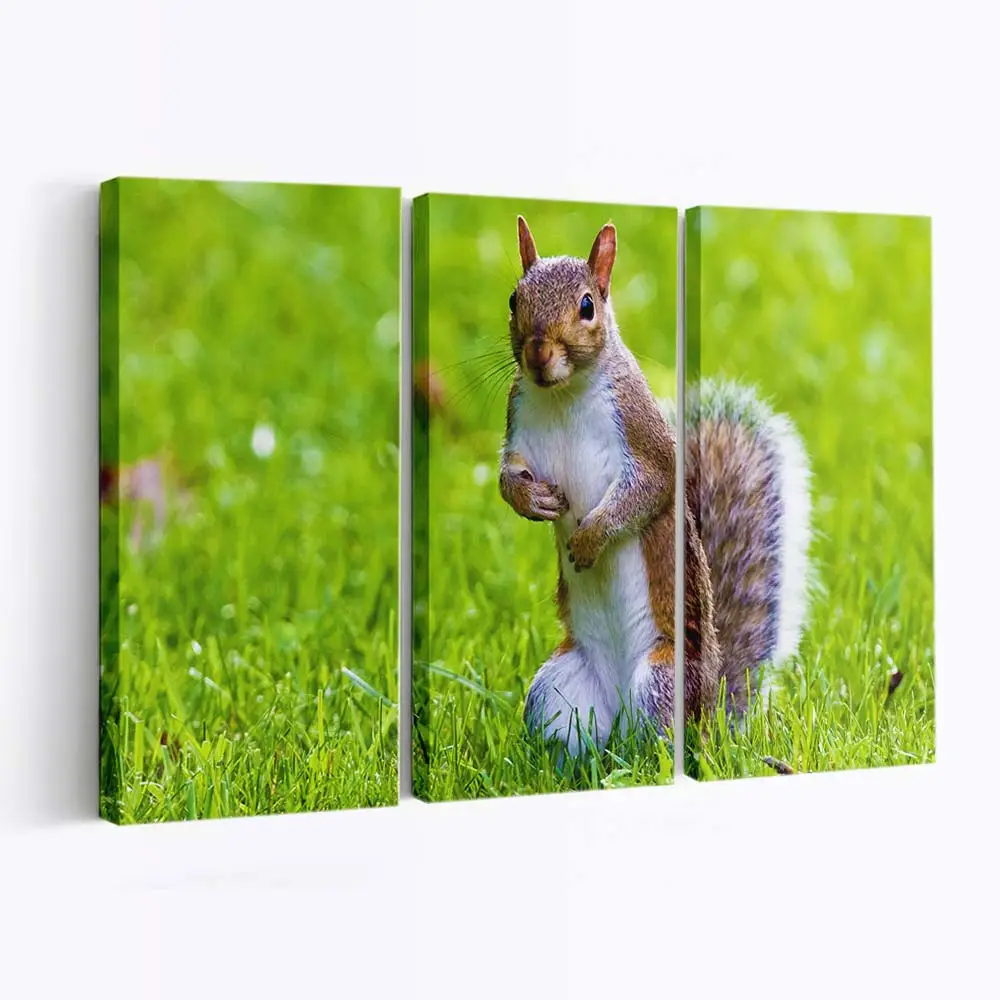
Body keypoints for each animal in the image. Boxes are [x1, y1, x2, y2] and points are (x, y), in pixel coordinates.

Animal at [499, 216, 812, 756]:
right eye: (516, 299)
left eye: (587, 305)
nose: (537, 353)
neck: (561, 394)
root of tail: (712, 714)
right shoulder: (517, 426)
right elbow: (506, 477)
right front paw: (531, 500)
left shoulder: (643, 435)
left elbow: (650, 491)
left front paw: (589, 539)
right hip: (556, 691)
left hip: (660, 681)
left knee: (654, 743)